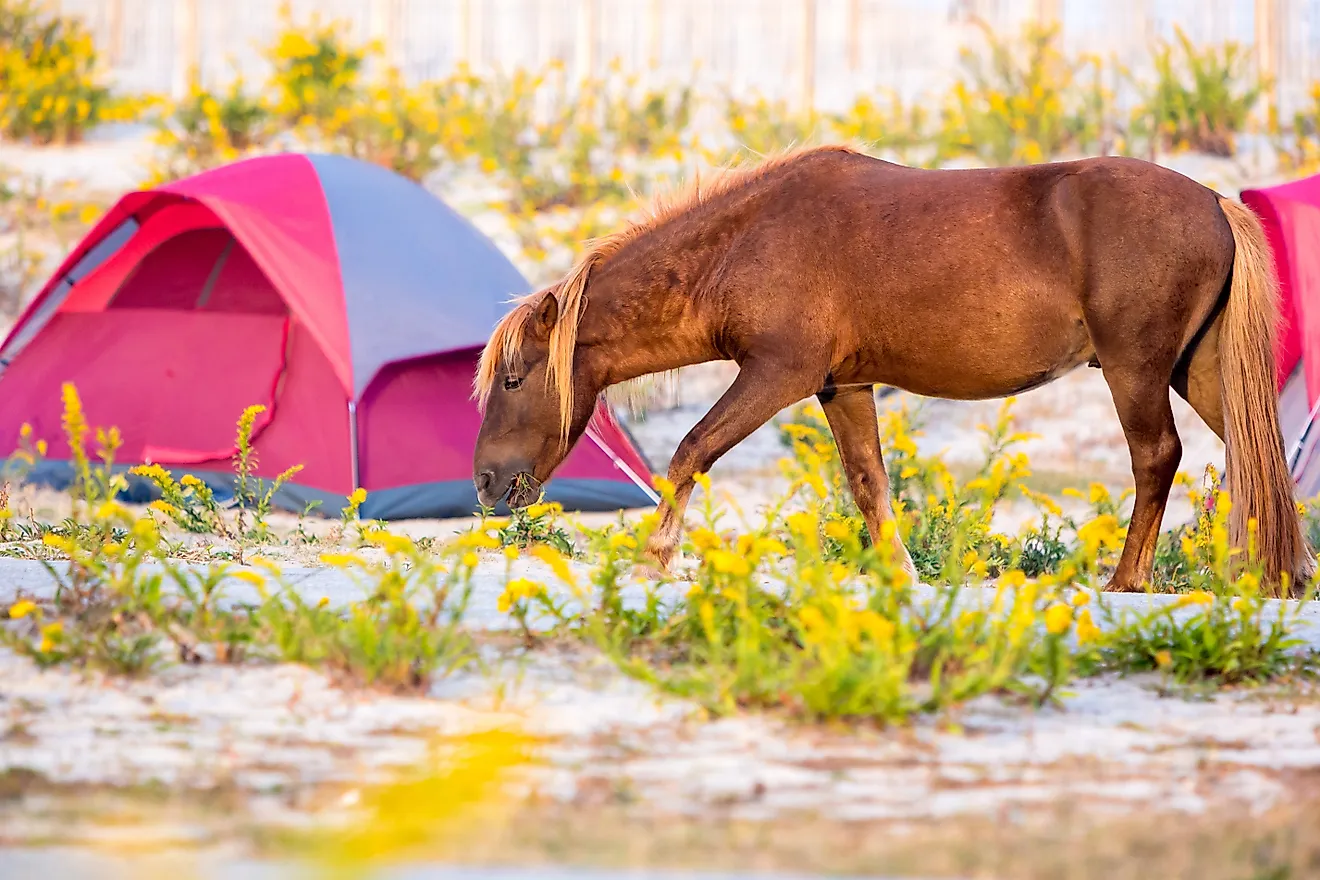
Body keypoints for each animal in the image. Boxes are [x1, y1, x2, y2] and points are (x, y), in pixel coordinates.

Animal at [472, 145, 1313, 593]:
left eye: (514, 380)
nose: (485, 483)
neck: (747, 241)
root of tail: (1214, 201)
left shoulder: (776, 375)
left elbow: (690, 453)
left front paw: (656, 559)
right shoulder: (839, 386)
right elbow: (869, 483)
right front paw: (899, 575)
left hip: (1135, 369)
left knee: (1157, 457)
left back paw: (1125, 580)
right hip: (1195, 371)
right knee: (1255, 451)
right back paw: (1288, 569)